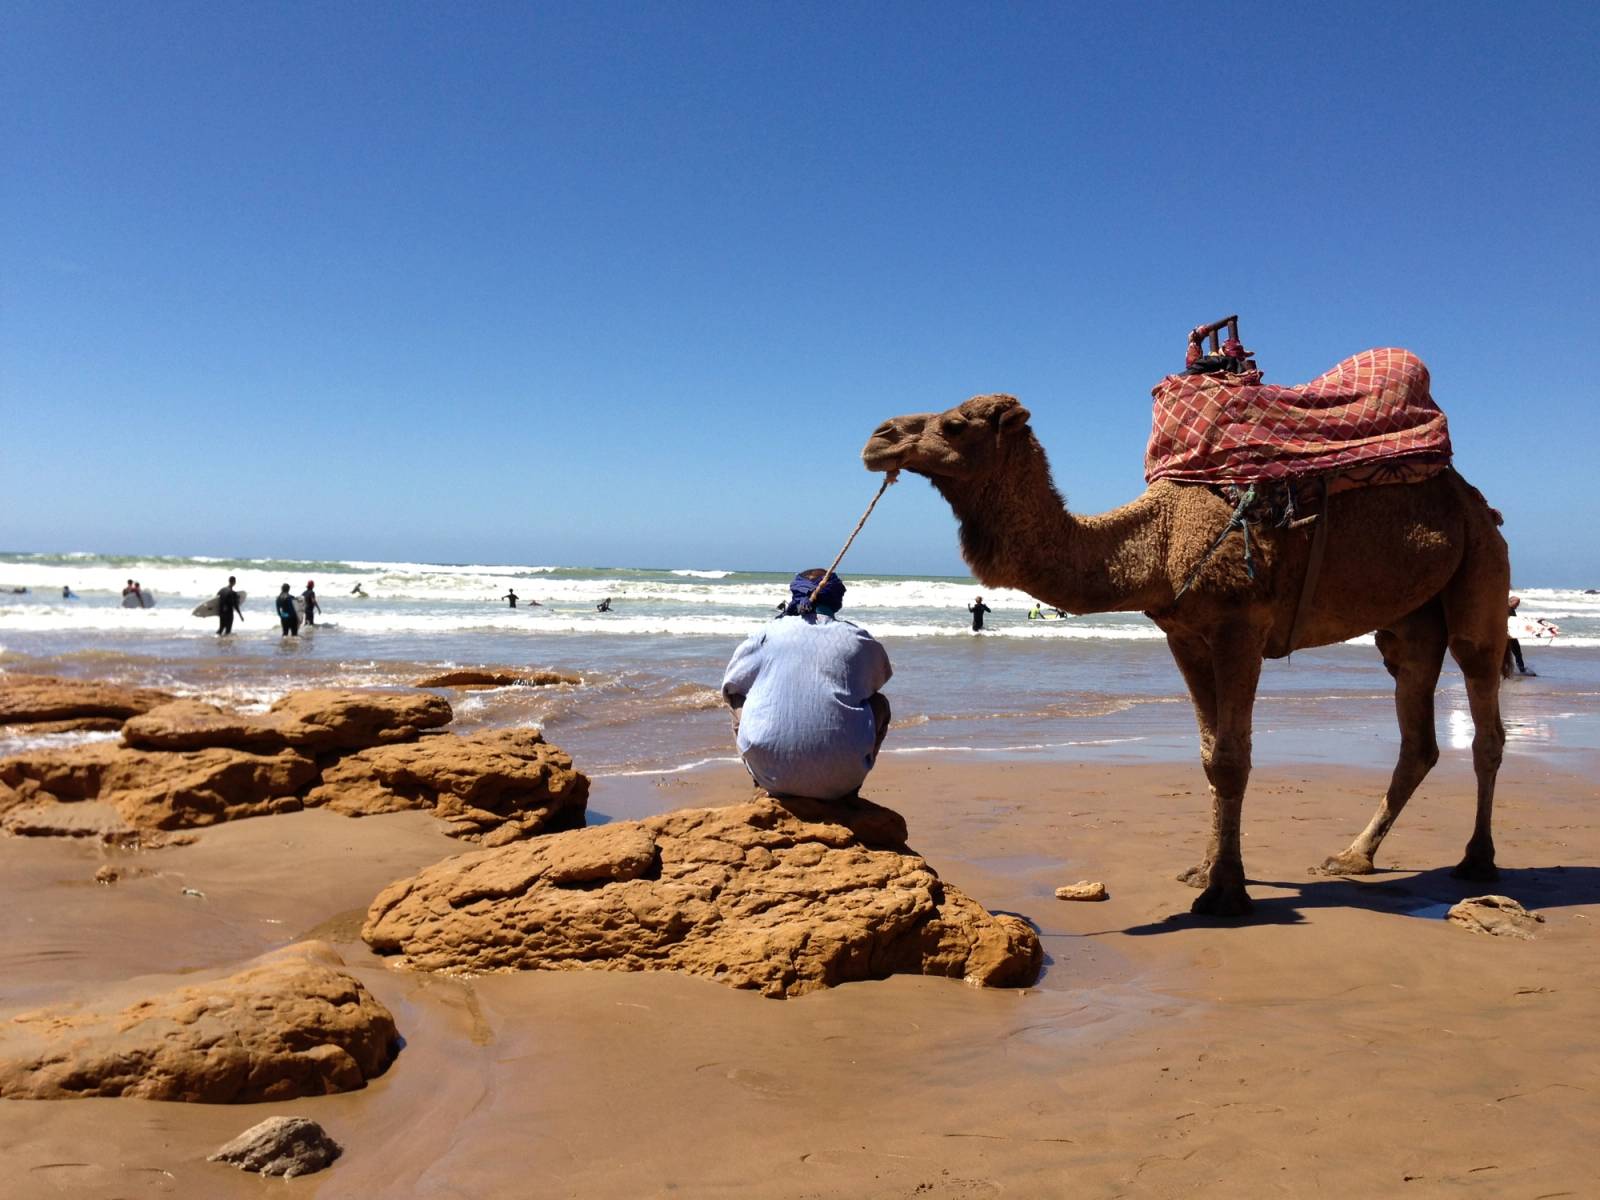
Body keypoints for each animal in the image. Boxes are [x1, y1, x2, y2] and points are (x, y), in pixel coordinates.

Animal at [861, 392, 1510, 916]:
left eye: (954, 425)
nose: (878, 437)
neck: (1160, 538)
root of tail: (1478, 502)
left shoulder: (1239, 626)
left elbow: (1231, 758)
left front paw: (1225, 893)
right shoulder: (1185, 635)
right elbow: (1207, 755)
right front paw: (1205, 870)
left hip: (1482, 567)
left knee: (1484, 708)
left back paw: (1477, 860)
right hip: (1407, 622)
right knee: (1416, 733)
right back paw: (1352, 858)